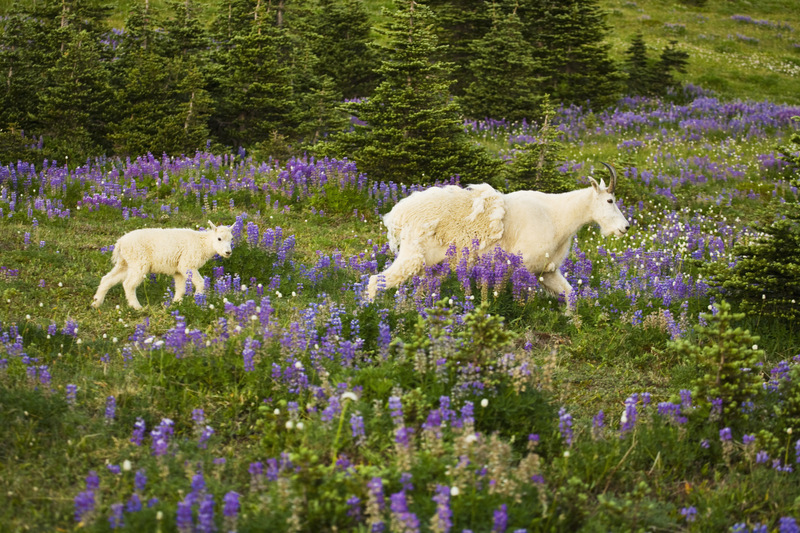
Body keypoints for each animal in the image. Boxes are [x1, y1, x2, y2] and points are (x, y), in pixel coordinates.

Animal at [93, 220, 234, 310]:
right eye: (219, 238)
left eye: (231, 239)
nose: (228, 252)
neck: (203, 244)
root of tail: (120, 243)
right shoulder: (187, 264)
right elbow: (200, 282)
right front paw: (197, 300)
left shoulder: (178, 270)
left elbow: (180, 289)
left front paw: (176, 303)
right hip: (139, 261)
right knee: (128, 284)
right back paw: (137, 307)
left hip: (125, 263)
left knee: (107, 279)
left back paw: (96, 303)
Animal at [366, 164, 628, 310]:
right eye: (610, 200)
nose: (624, 227)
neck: (557, 215)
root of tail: (397, 215)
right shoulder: (523, 266)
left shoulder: (547, 271)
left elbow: (571, 295)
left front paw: (573, 322)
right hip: (413, 255)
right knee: (376, 280)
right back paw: (369, 311)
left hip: (433, 265)